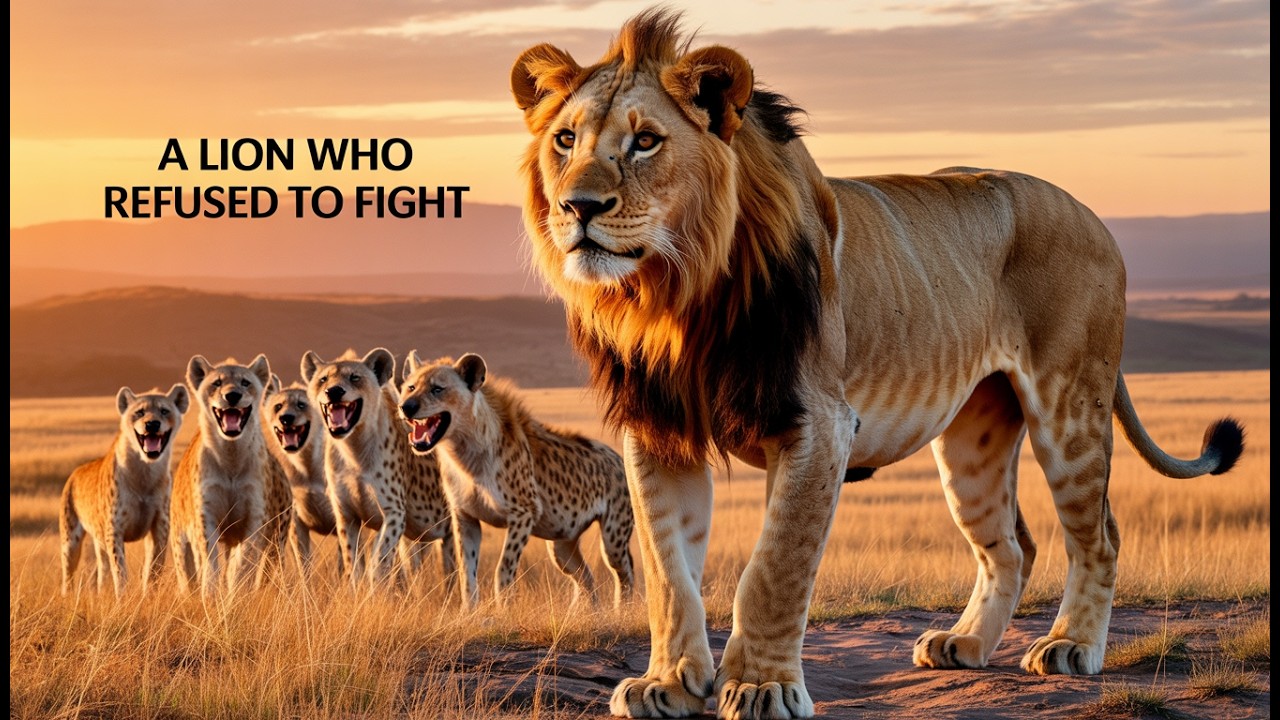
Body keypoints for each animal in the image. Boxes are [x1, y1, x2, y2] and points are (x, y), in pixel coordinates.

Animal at [510, 9, 1245, 719]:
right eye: (566, 140)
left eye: (646, 142)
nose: (577, 207)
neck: (673, 295)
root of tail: (1094, 215)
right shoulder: (659, 430)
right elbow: (669, 571)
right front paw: (667, 683)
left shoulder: (817, 425)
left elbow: (772, 569)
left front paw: (762, 688)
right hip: (973, 443)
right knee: (1012, 545)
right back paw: (965, 644)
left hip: (1069, 410)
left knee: (1100, 535)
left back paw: (1071, 646)